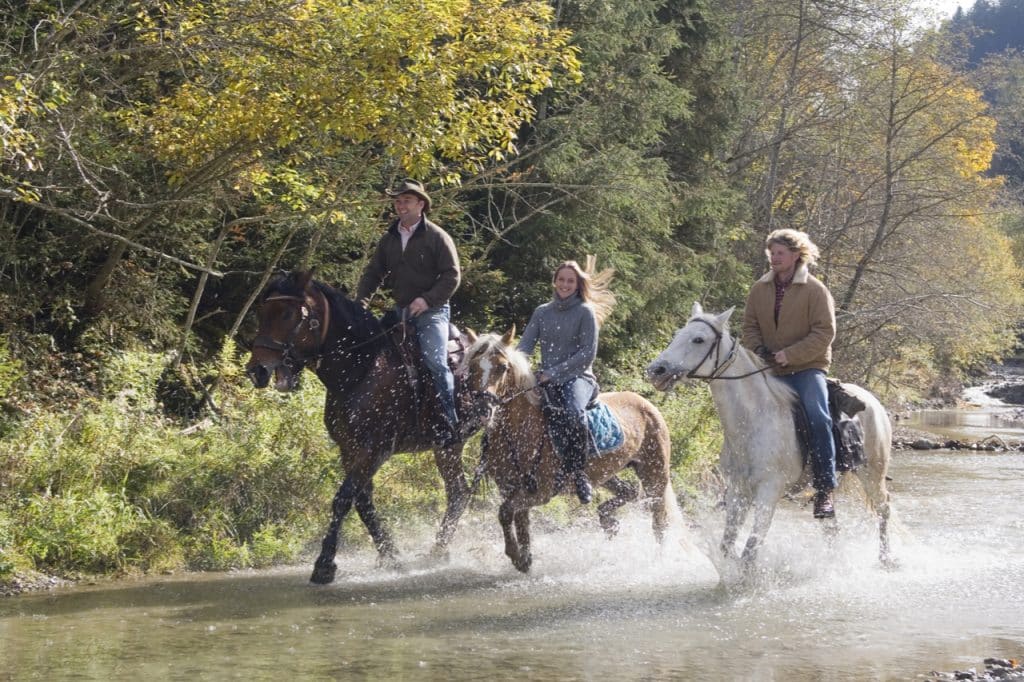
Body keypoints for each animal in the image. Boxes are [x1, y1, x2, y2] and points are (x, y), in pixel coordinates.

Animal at [245, 270, 477, 585]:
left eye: (288, 314)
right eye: (261, 313)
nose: (257, 370)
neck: (362, 370)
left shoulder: (374, 450)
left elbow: (343, 499)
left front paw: (324, 564)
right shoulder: (350, 449)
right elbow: (363, 502)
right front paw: (391, 556)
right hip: (448, 446)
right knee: (458, 493)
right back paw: (437, 552)